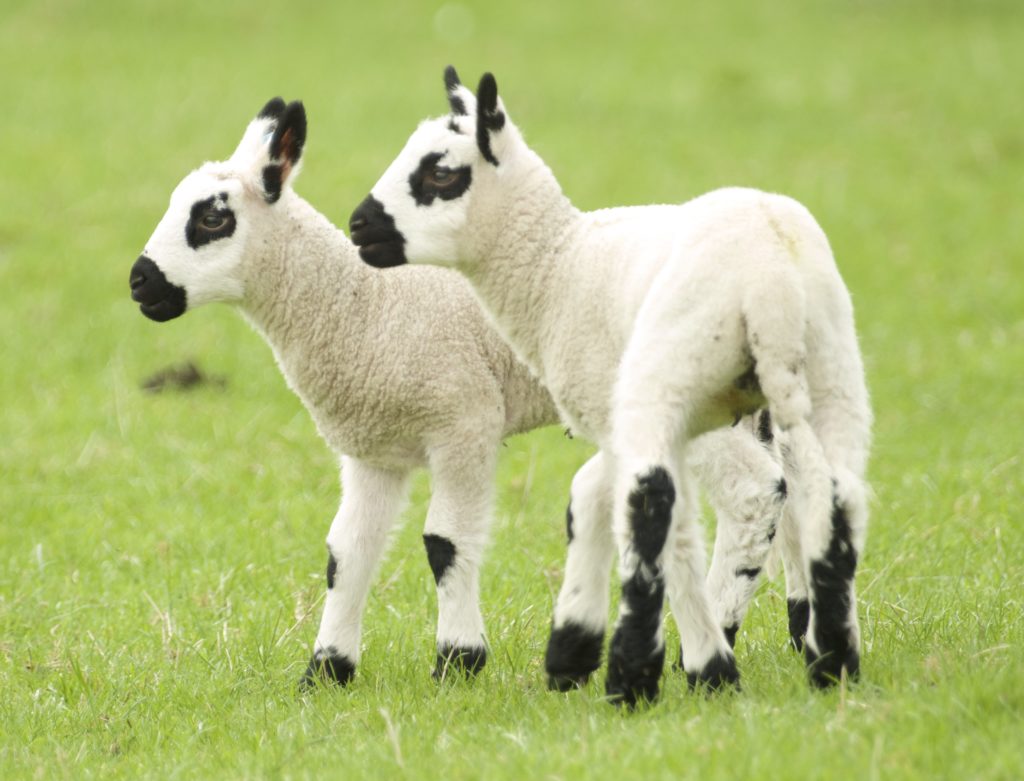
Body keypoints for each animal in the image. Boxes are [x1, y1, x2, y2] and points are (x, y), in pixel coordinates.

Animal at [128, 97, 561, 687]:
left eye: (213, 217)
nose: (139, 281)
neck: (366, 306)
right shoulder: (373, 450)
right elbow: (346, 554)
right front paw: (328, 669)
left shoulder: (464, 422)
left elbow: (445, 544)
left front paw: (458, 661)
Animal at [350, 67, 872, 706]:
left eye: (440, 172)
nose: (358, 225)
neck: (556, 265)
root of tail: (770, 279)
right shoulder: (623, 419)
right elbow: (591, 499)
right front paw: (574, 650)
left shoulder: (616, 408)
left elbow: (632, 513)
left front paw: (609, 657)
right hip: (832, 368)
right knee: (838, 494)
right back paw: (833, 664)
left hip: (666, 376)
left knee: (661, 501)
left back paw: (659, 673)